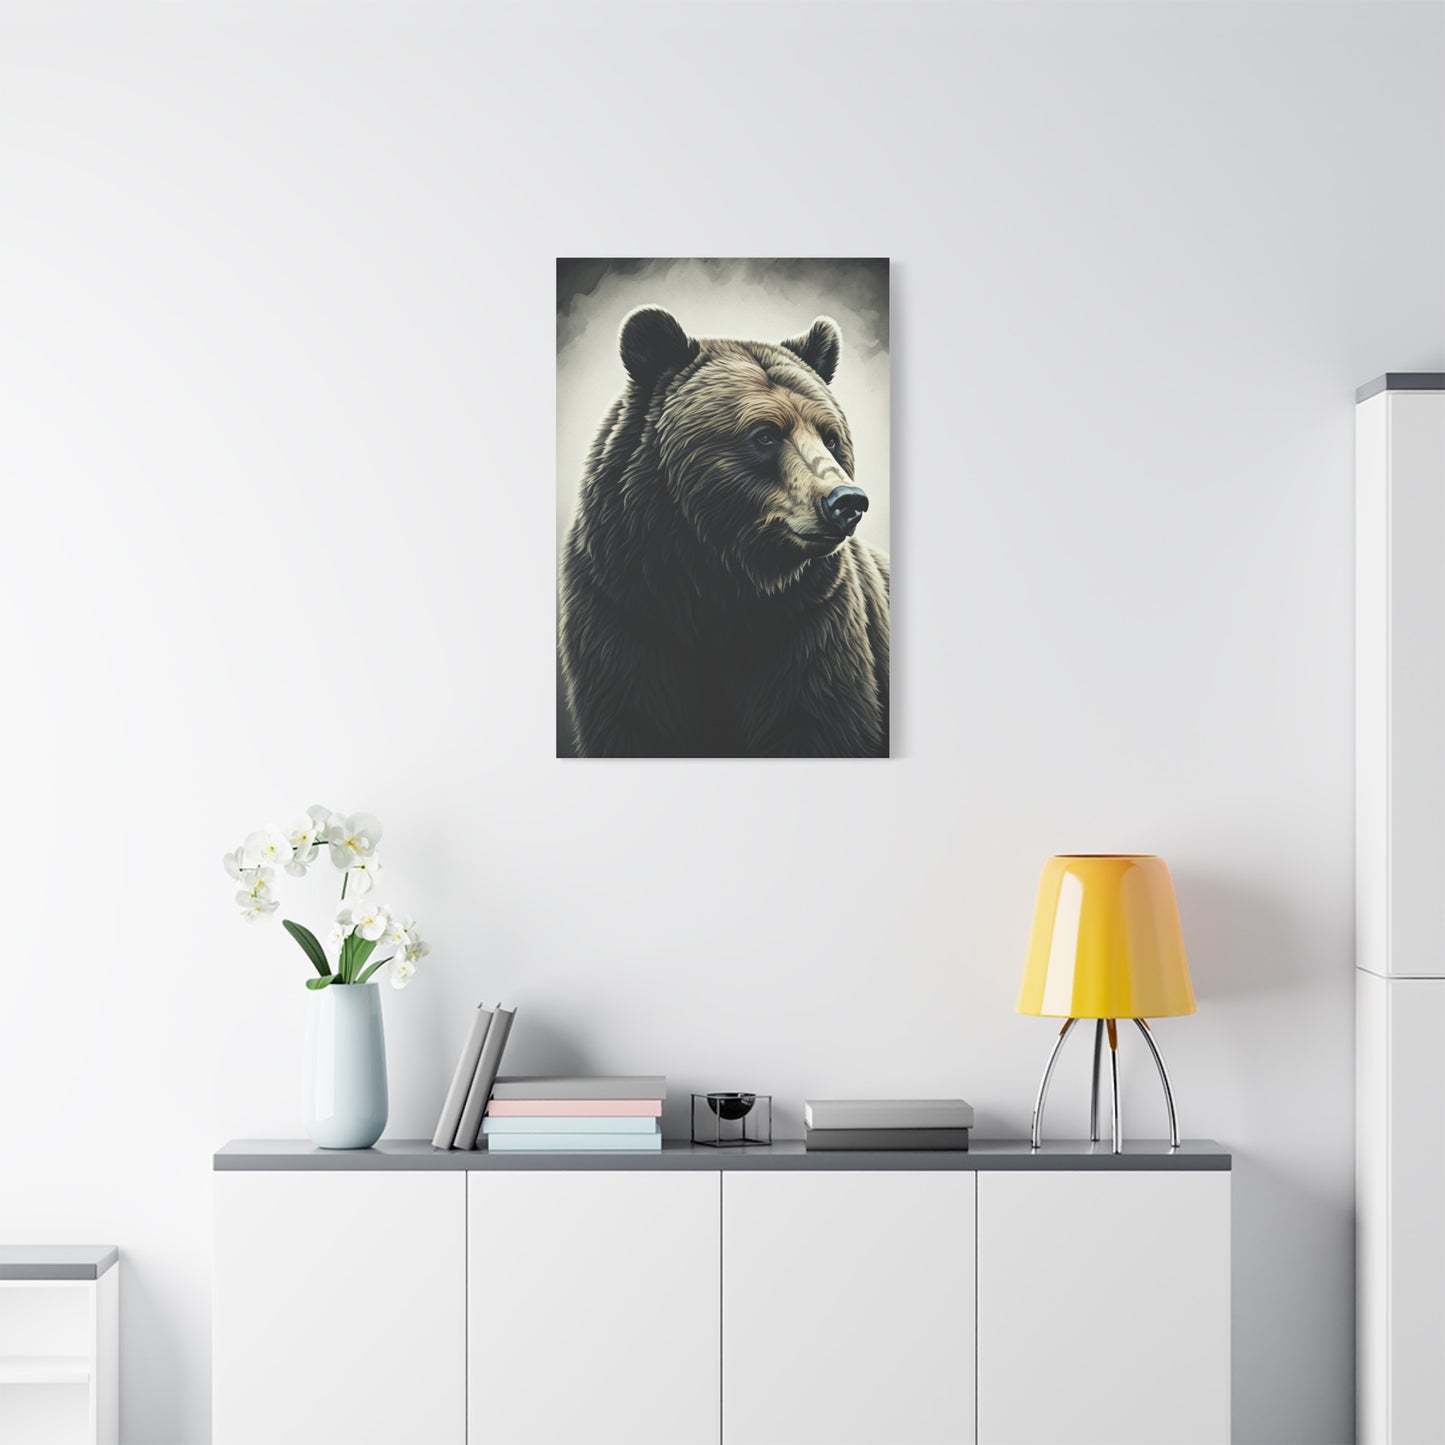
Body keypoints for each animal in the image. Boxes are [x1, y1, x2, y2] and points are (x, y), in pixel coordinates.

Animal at [559, 306, 889, 758]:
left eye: (831, 437)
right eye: (765, 434)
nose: (846, 501)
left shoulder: (809, 623)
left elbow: (818, 721)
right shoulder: (625, 611)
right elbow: (636, 720)